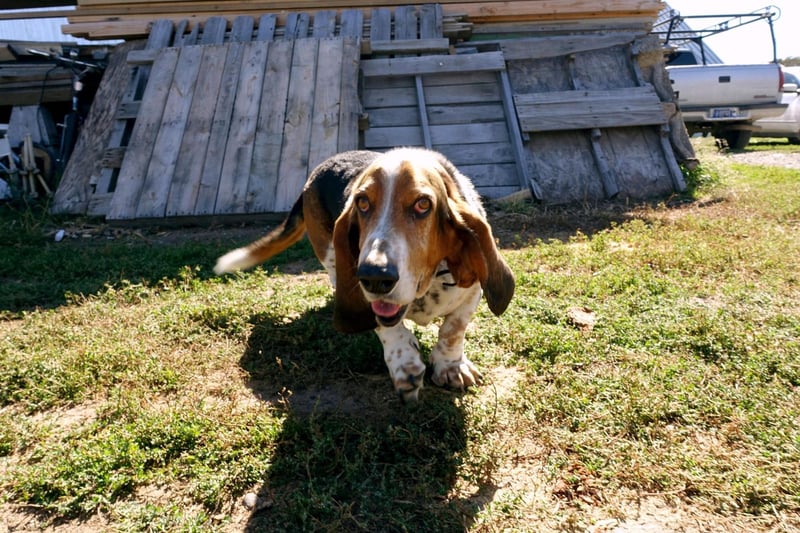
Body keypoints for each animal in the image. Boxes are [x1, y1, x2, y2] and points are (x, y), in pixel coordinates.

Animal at [214, 148, 512, 402]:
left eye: (423, 204)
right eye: (362, 203)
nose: (374, 276)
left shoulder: (472, 294)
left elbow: (453, 329)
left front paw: (451, 367)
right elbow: (387, 327)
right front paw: (405, 362)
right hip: (330, 256)